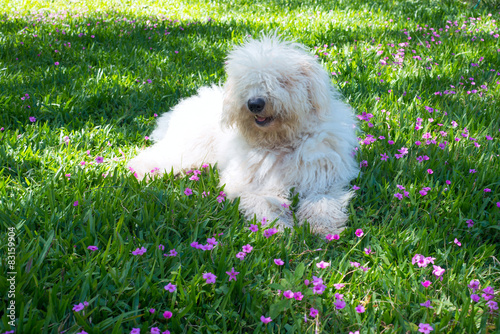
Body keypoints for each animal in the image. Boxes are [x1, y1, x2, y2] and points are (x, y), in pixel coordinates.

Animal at [130, 36, 360, 235]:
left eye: (281, 80)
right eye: (247, 81)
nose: (255, 103)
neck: (281, 142)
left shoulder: (324, 181)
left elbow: (322, 202)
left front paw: (321, 227)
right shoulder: (247, 184)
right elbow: (263, 202)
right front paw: (278, 229)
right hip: (186, 151)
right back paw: (140, 170)